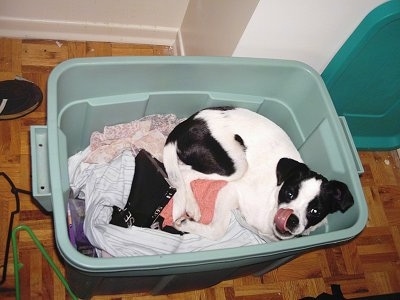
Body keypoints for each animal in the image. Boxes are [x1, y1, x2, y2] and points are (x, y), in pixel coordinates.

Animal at [162, 106, 354, 240]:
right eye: (289, 193)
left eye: (315, 211)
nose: (291, 219)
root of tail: (189, 122)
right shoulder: (231, 192)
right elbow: (218, 230)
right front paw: (185, 224)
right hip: (235, 167)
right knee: (183, 174)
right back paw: (189, 207)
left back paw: (191, 206)